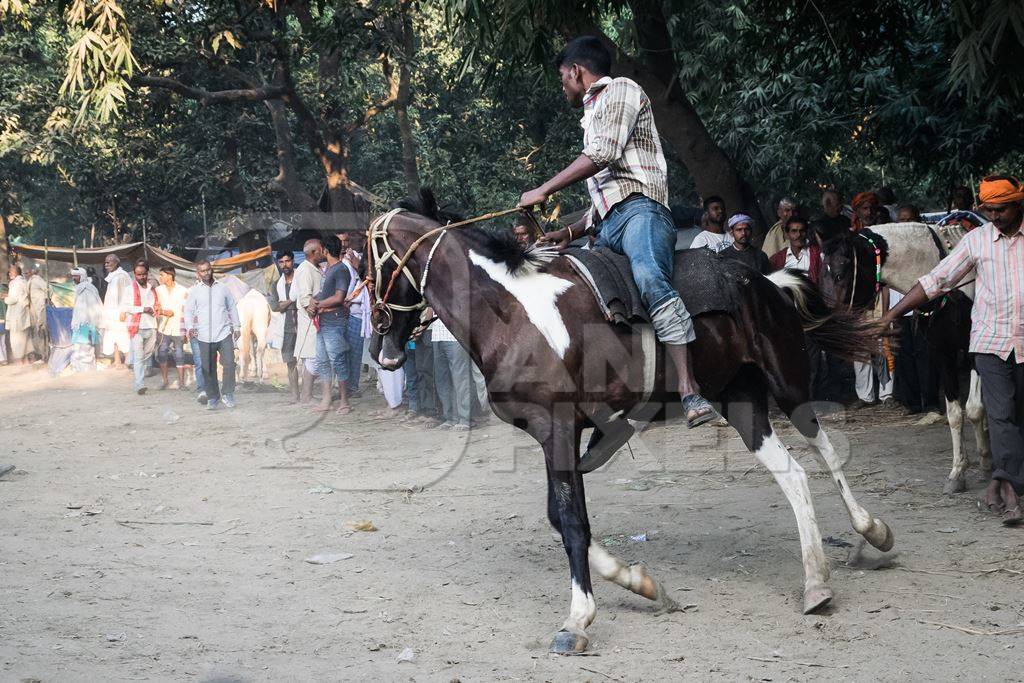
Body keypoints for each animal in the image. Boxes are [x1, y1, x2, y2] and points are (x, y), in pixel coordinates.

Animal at [366, 192, 888, 655]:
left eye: (375, 266)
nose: (381, 346)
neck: (511, 312)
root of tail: (766, 281)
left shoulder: (556, 427)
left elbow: (571, 521)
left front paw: (577, 619)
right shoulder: (561, 435)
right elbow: (562, 516)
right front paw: (642, 583)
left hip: (788, 384)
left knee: (823, 448)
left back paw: (870, 530)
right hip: (739, 400)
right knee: (792, 474)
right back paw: (817, 582)